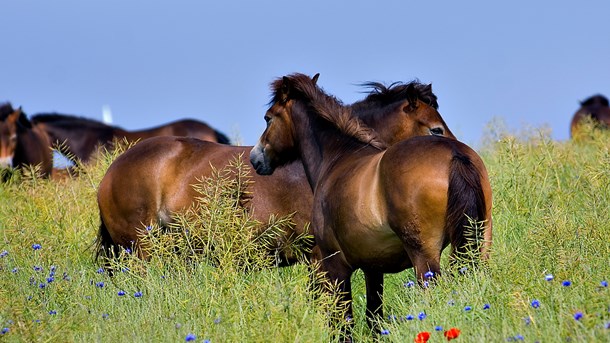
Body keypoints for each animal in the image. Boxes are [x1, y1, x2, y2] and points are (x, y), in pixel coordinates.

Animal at [249, 73, 492, 342]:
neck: (337, 159)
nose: (255, 158)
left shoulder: (333, 266)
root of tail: (455, 155)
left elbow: (343, 323)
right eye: (436, 127)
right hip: (480, 246)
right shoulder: (373, 268)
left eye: (268, 117)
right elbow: (374, 318)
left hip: (425, 260)